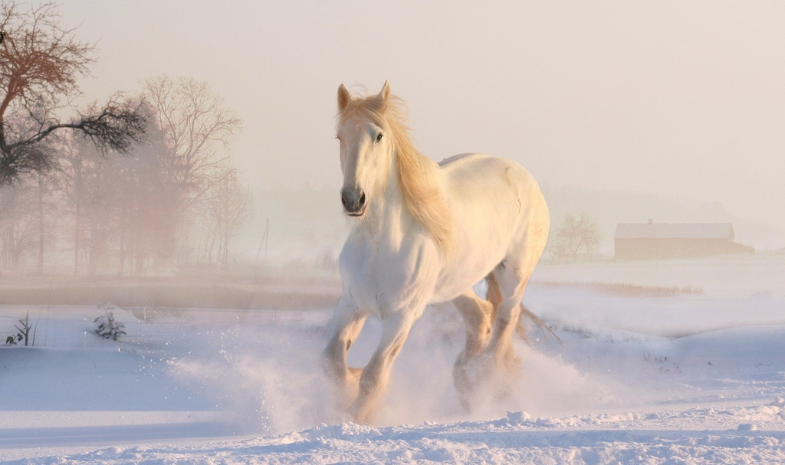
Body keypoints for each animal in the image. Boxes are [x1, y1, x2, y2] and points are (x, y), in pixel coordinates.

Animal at [322, 82, 550, 424]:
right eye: (340, 136)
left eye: (378, 135)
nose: (353, 199)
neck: (380, 245)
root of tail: (524, 176)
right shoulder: (351, 304)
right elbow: (332, 363)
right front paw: (346, 392)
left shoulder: (402, 317)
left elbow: (373, 376)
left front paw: (358, 417)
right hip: (455, 284)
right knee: (480, 315)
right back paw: (465, 379)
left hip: (514, 273)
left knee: (506, 318)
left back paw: (484, 378)